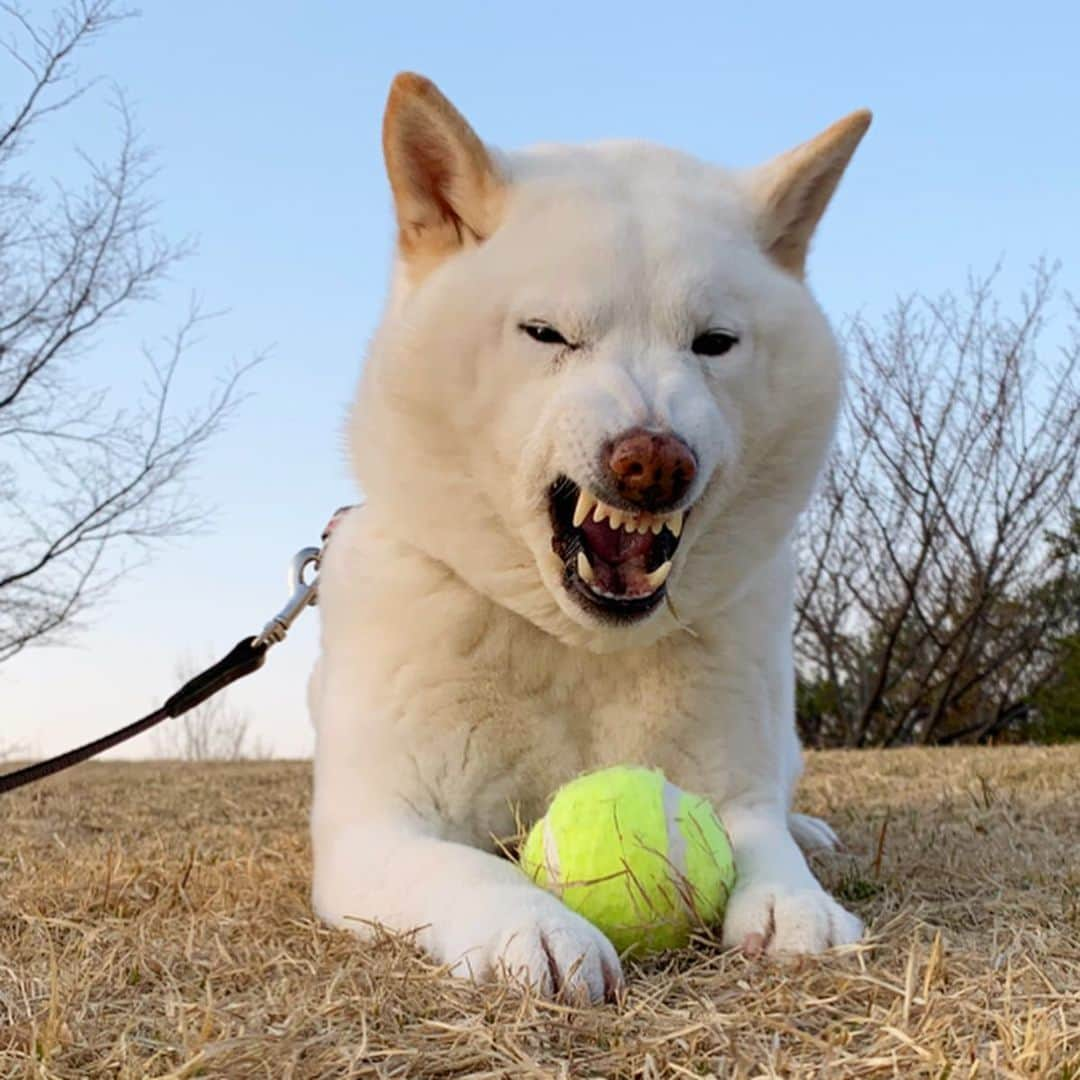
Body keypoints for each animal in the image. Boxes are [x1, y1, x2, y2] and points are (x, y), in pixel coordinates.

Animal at [308, 73, 872, 1002]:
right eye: (547, 334)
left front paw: (799, 906)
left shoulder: (732, 786)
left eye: (714, 343)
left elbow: (762, 836)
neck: (577, 649)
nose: (654, 462)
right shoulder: (375, 830)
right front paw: (534, 926)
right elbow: (470, 867)